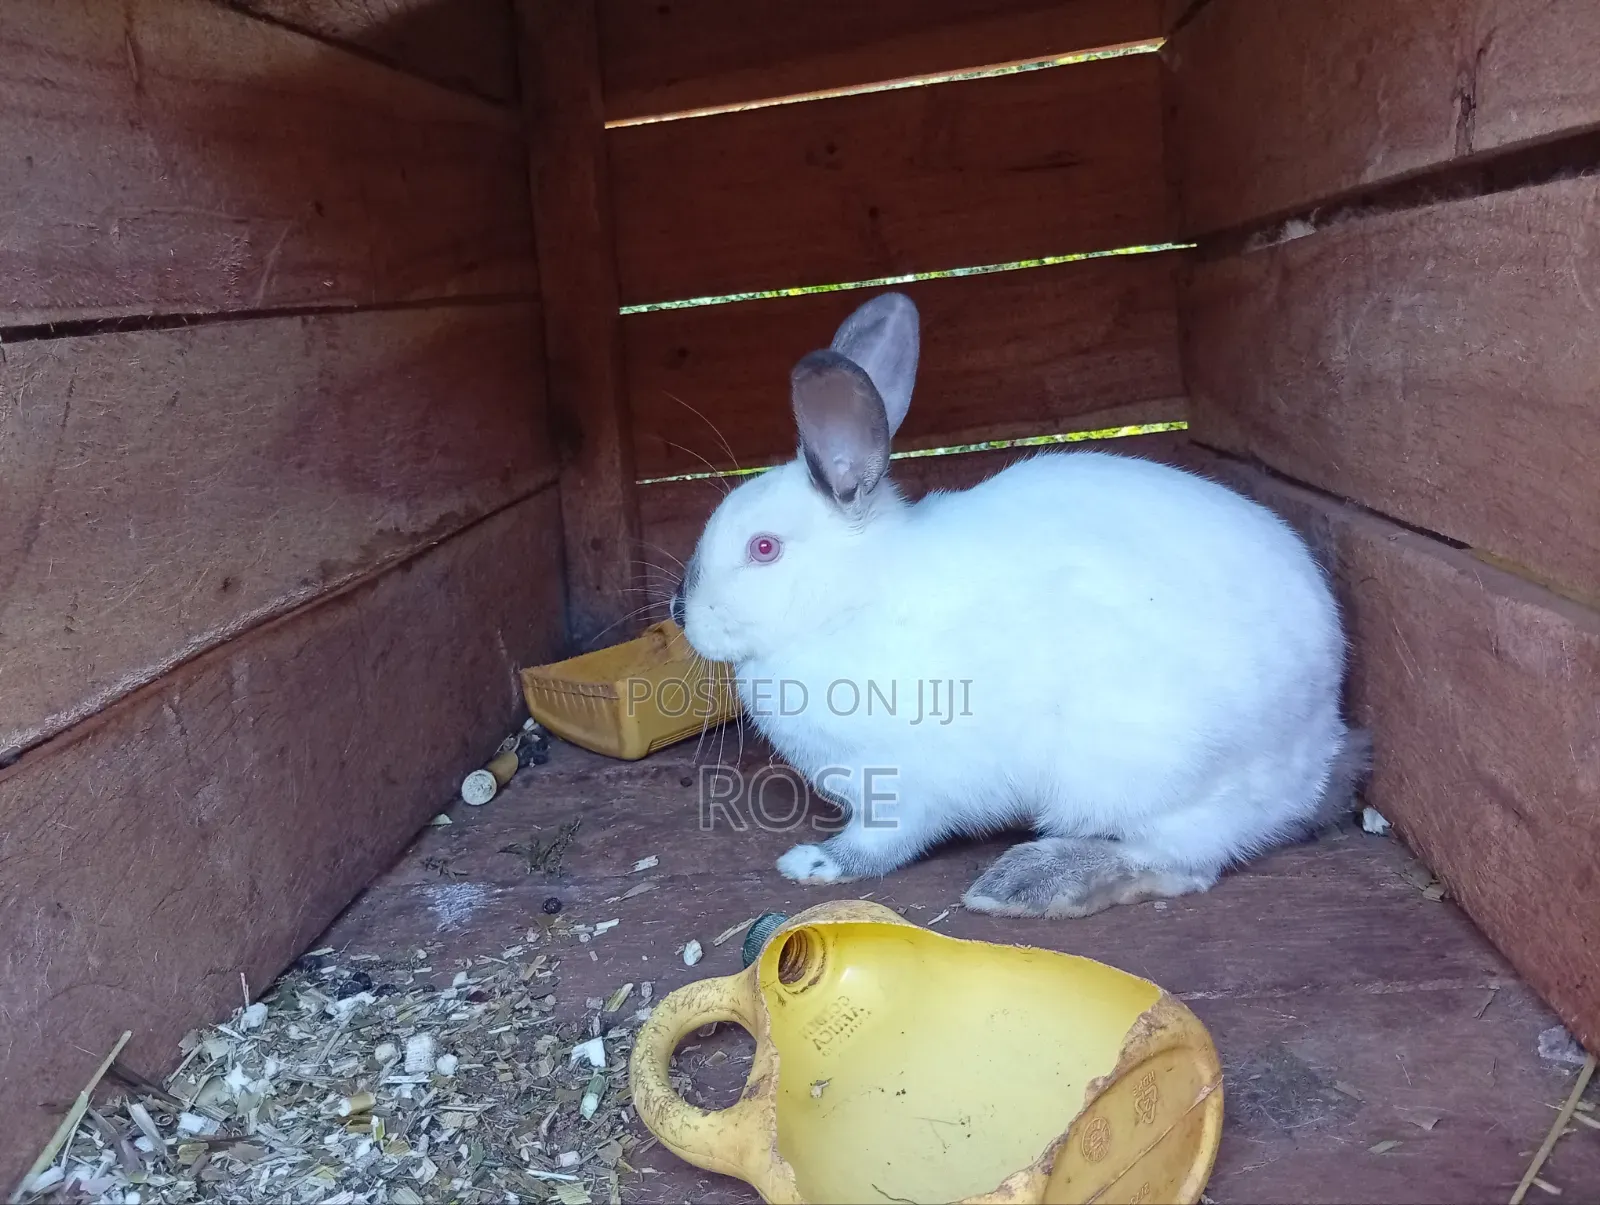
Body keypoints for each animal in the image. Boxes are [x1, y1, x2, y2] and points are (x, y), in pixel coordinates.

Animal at [669, 291, 1370, 918]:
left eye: (763, 548)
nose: (682, 612)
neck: (849, 600)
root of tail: (1321, 748)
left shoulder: (903, 787)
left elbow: (880, 846)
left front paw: (815, 863)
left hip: (1147, 773)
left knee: (1179, 862)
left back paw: (1027, 884)